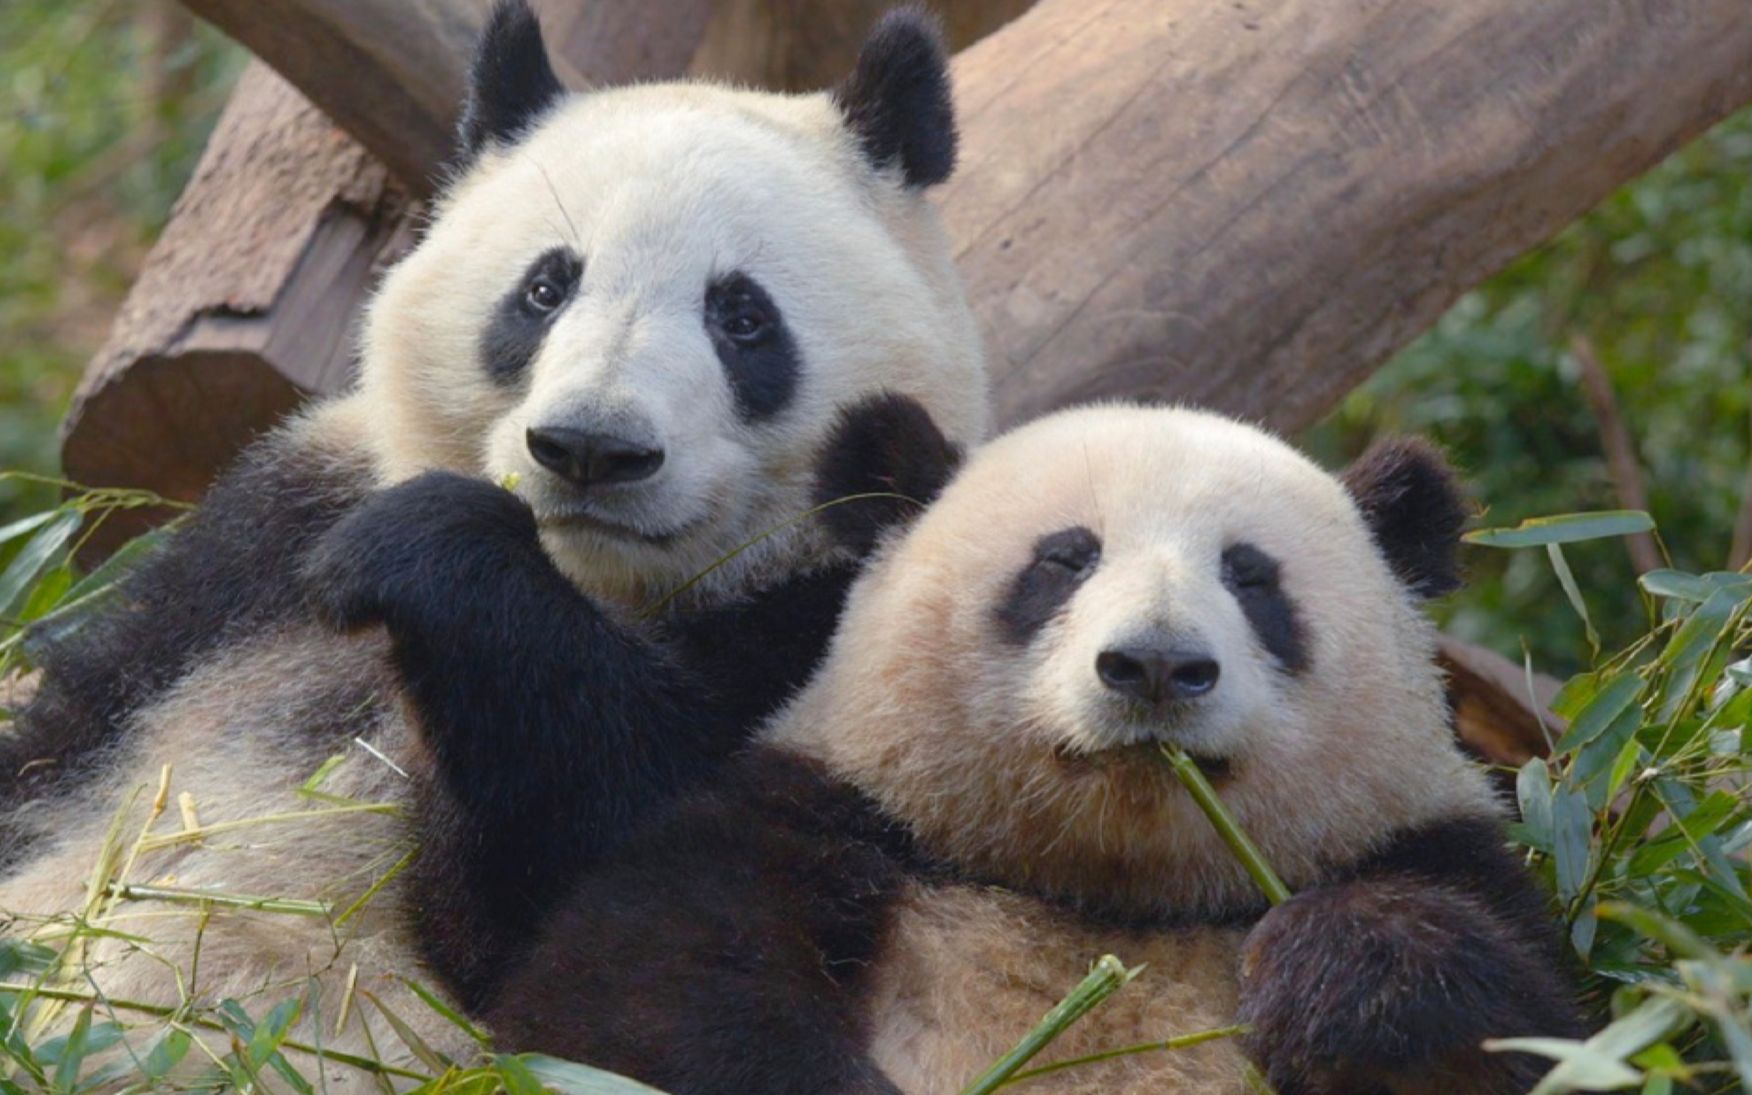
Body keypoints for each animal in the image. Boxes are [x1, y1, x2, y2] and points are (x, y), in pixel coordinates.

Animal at [0, 0, 988, 1079]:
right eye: (545, 289)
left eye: (742, 316)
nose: (592, 448)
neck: (588, 582)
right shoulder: (257, 545)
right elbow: (61, 746)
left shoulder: (851, 620)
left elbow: (590, 888)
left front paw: (431, 554)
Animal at [430, 402, 1583, 1093]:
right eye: (1064, 560)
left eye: (1253, 578)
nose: (1155, 665)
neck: (1100, 893)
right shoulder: (818, 819)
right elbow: (635, 1006)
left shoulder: (1438, 854)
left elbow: (1534, 1029)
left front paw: (1345, 976)